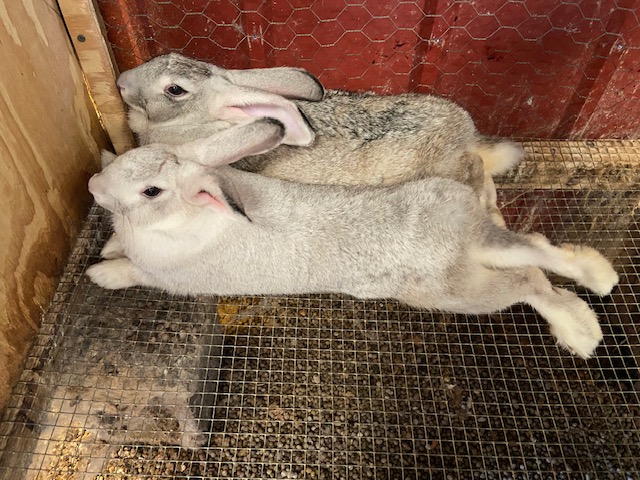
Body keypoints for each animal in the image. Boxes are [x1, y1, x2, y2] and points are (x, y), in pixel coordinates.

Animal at [87, 118, 618, 359]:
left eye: (151, 190)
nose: (92, 185)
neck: (180, 219)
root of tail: (464, 235)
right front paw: (109, 248)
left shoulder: (165, 275)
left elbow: (131, 271)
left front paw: (101, 272)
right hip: (484, 247)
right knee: (536, 253)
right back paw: (598, 280)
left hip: (457, 293)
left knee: (527, 282)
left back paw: (581, 331)